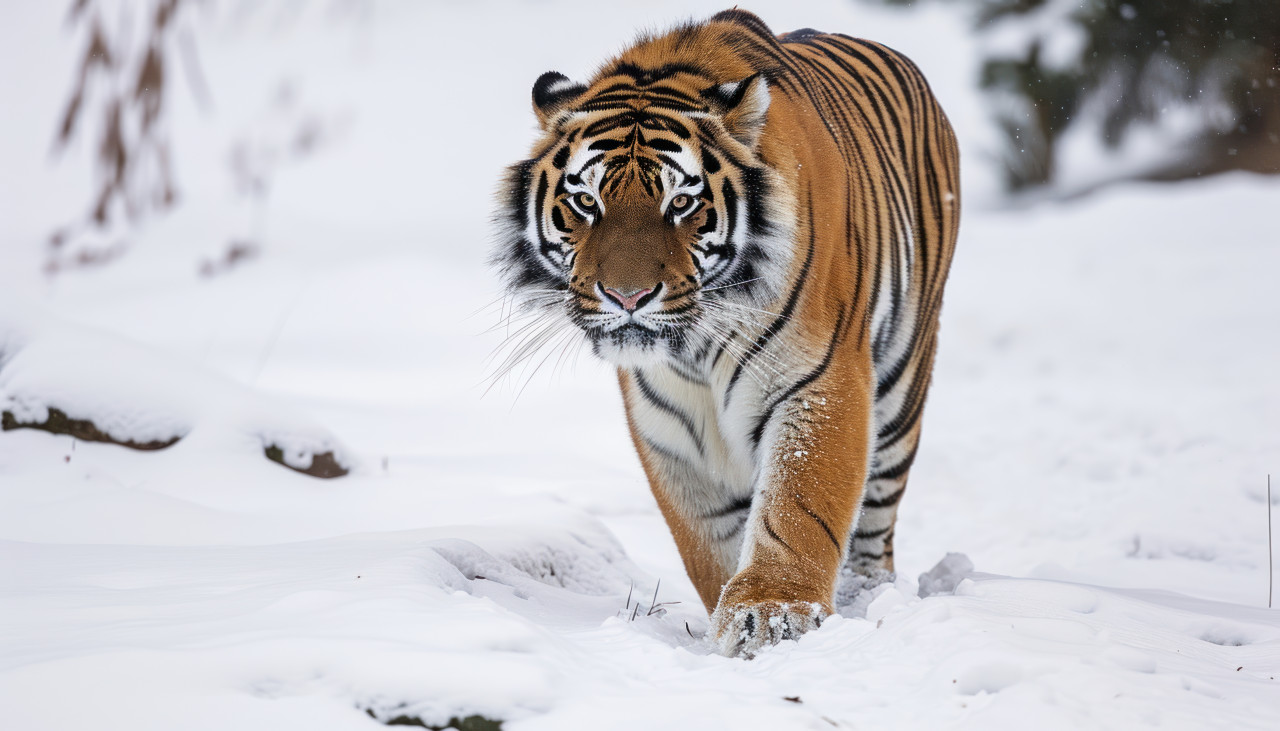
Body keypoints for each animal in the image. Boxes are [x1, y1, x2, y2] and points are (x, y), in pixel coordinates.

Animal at [494, 9, 960, 657]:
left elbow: (798, 504)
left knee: (875, 523)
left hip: (902, 381)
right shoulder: (669, 423)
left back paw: (868, 594)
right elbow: (706, 534)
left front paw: (772, 612)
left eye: (681, 203)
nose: (626, 297)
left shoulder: (819, 379)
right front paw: (728, 614)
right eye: (585, 201)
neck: (696, 348)